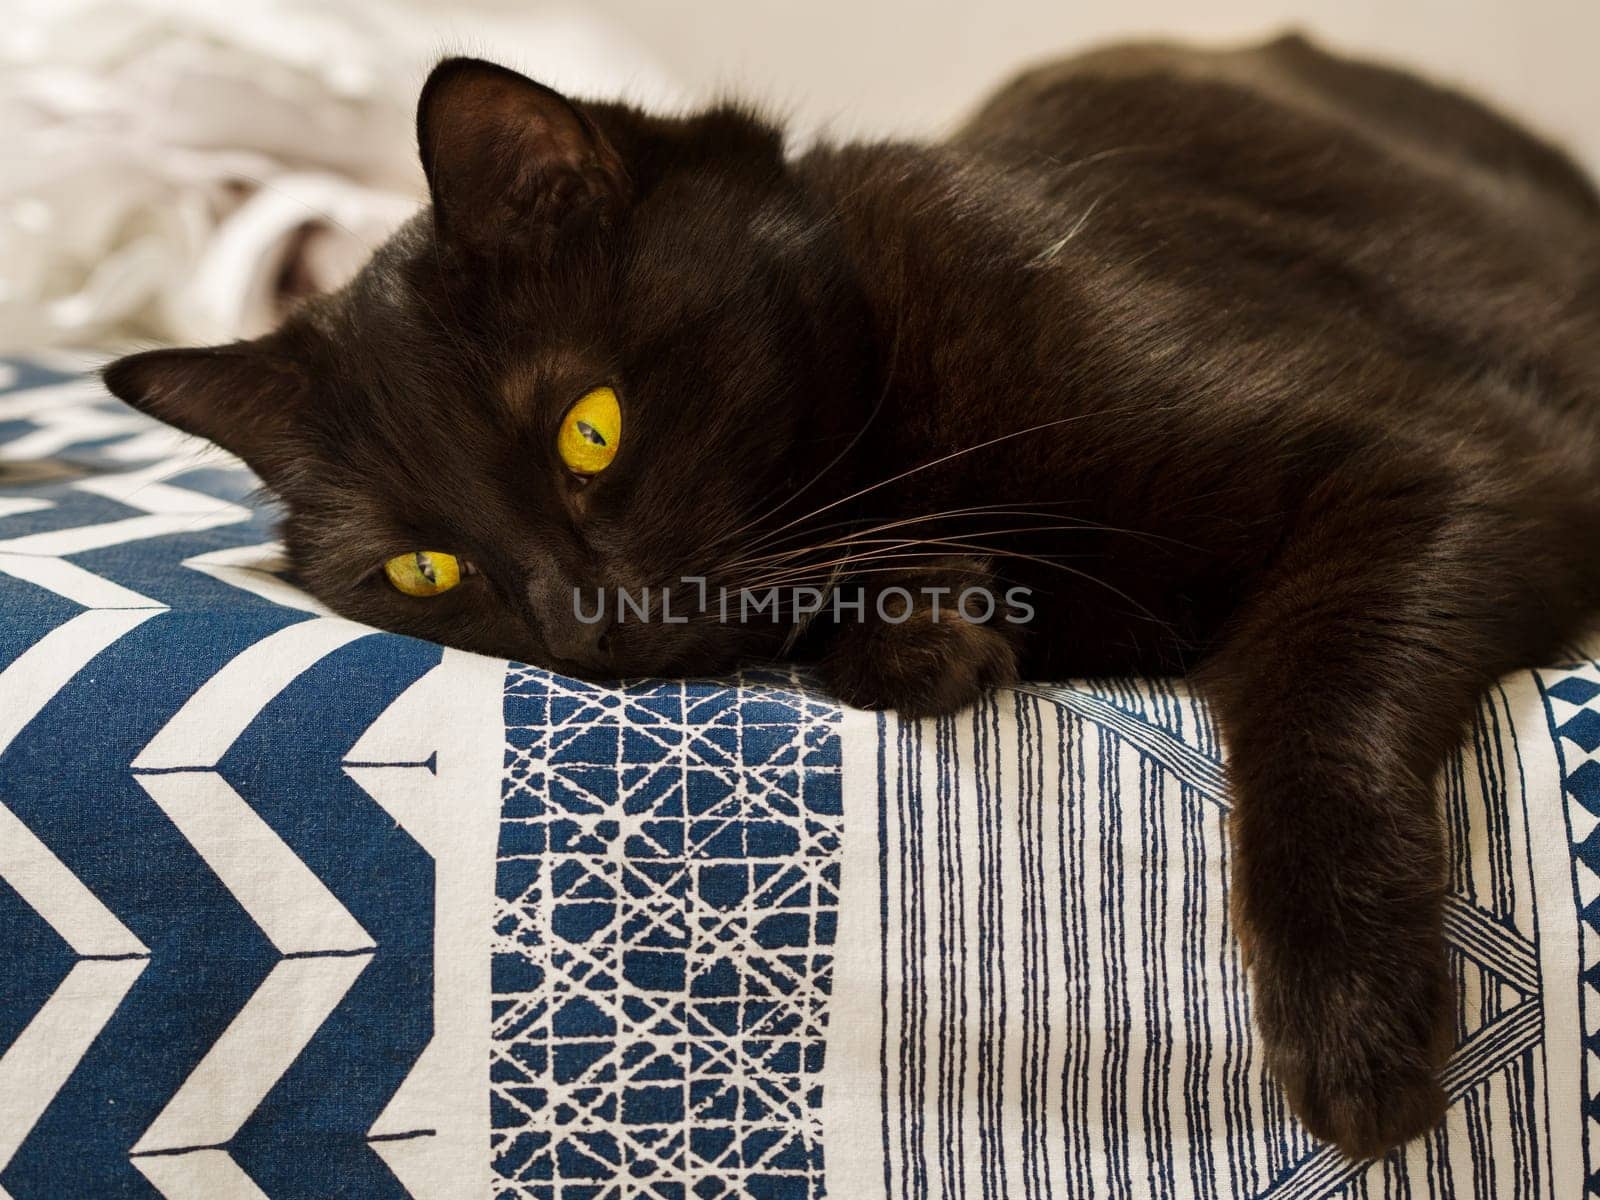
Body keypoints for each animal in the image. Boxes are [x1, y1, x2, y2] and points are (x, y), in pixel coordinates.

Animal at [106, 35, 1600, 1158]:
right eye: (427, 570)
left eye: (590, 429)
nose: (582, 628)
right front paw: (928, 626)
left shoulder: (1459, 459)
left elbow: (1310, 687)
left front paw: (1355, 1017)